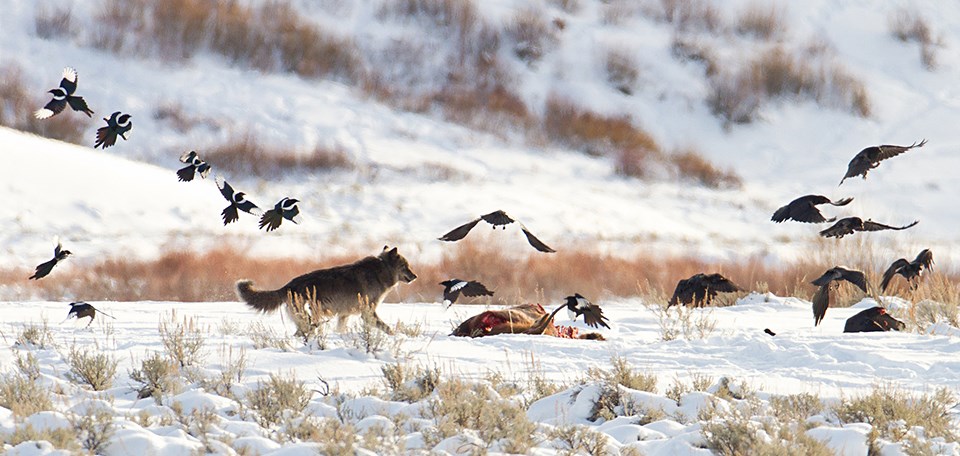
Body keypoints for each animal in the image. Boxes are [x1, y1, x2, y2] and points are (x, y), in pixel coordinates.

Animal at [236, 248, 416, 334]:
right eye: (406, 266)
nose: (416, 276)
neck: (381, 271)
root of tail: (288, 285)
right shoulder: (367, 314)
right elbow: (388, 329)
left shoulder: (344, 315)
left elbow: (341, 330)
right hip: (311, 320)